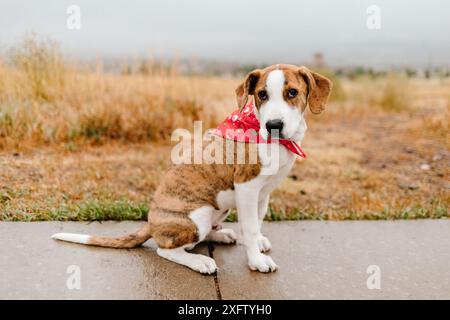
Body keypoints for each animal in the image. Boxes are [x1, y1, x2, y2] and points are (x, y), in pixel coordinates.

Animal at [52, 63, 332, 274]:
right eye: (262, 95)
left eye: (292, 93)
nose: (273, 125)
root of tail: (151, 222)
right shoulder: (247, 187)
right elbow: (250, 226)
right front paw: (256, 261)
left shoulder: (263, 191)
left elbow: (258, 219)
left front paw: (258, 242)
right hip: (197, 216)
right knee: (166, 249)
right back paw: (200, 261)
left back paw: (222, 236)